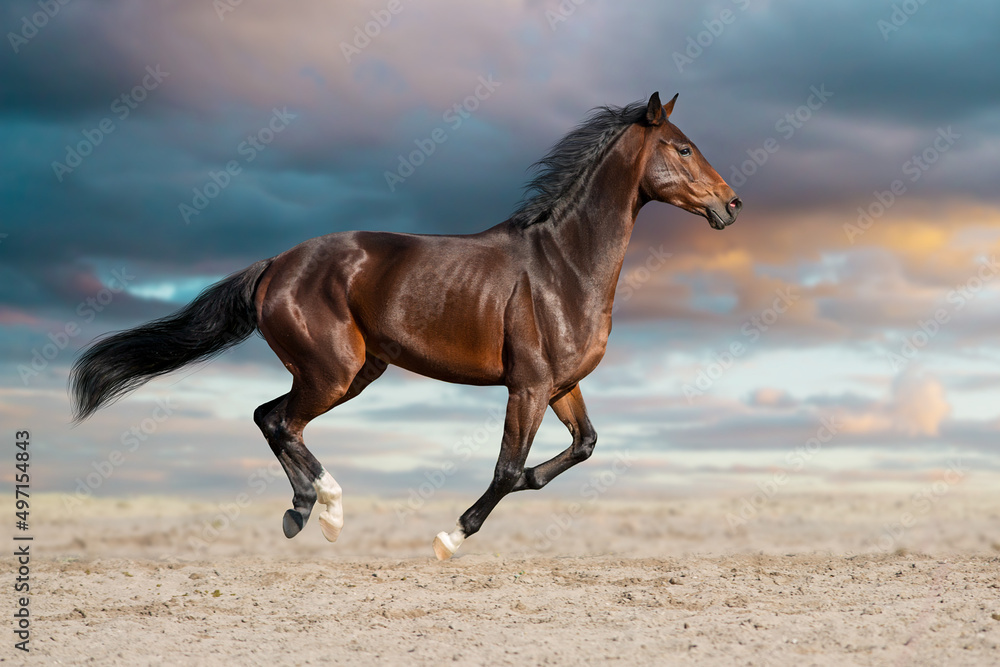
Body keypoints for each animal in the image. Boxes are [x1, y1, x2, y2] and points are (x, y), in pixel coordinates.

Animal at [70, 92, 741, 560]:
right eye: (682, 147)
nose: (731, 204)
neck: (564, 264)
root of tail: (275, 264)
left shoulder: (562, 385)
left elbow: (579, 447)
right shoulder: (526, 386)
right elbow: (506, 469)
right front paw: (451, 537)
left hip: (352, 372)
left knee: (271, 417)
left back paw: (303, 513)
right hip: (332, 371)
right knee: (281, 421)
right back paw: (329, 511)